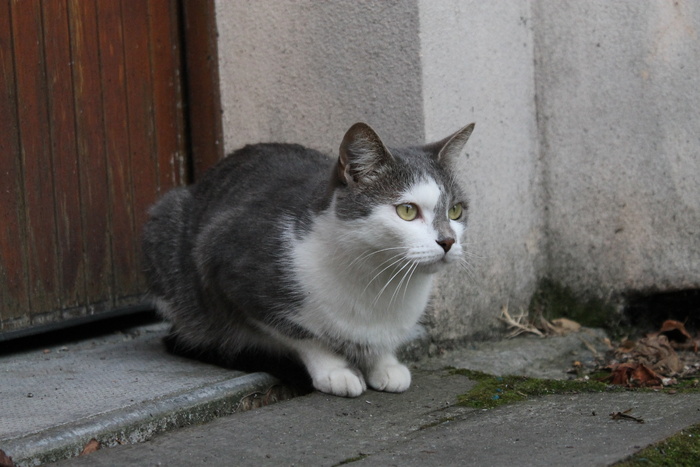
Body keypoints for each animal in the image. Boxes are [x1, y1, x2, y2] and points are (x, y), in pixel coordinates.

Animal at [145, 121, 478, 398]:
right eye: (407, 211)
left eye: (456, 210)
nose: (448, 241)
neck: (378, 280)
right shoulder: (229, 267)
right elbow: (302, 334)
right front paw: (336, 370)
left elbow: (379, 344)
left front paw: (384, 364)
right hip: (164, 225)